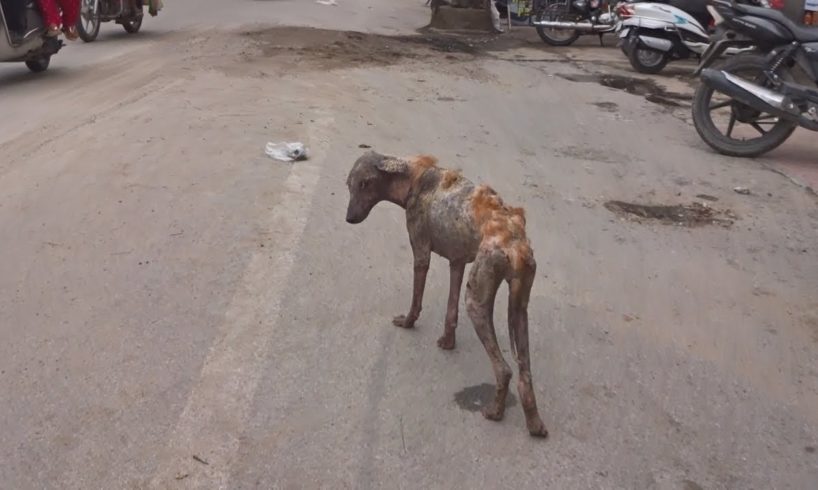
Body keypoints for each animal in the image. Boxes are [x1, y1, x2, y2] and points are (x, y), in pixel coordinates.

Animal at [344, 150, 548, 436]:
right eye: (348, 185)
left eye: (365, 183)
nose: (349, 218)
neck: (414, 177)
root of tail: (515, 245)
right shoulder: (457, 263)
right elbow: (450, 312)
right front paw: (448, 341)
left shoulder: (421, 253)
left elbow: (416, 301)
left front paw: (408, 322)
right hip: (519, 310)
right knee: (525, 375)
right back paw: (534, 422)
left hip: (475, 302)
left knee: (505, 370)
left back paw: (495, 412)